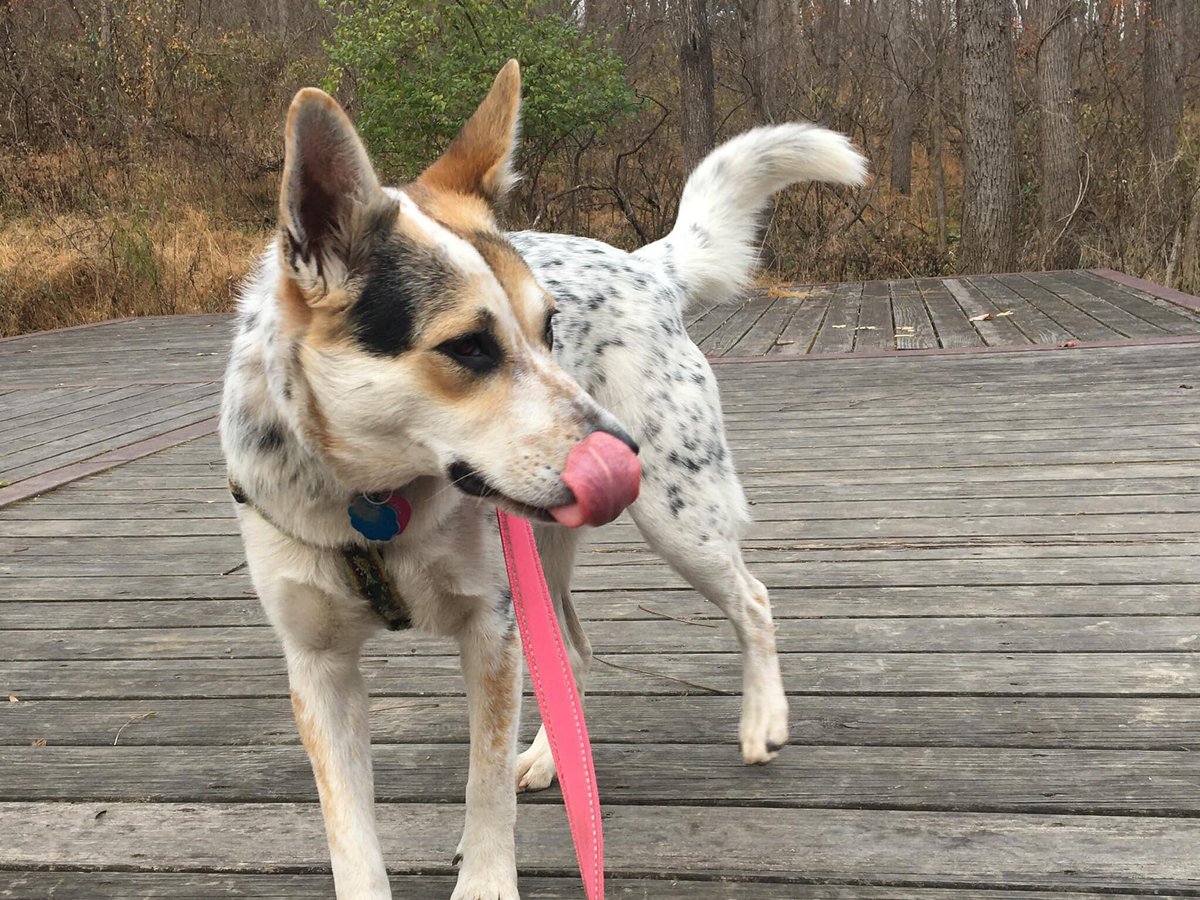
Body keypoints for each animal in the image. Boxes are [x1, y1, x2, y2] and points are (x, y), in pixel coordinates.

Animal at [220, 60, 868, 897]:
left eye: (549, 327)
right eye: (467, 347)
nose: (624, 454)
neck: (373, 498)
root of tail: (648, 263)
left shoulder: (491, 628)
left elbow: (484, 783)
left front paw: (487, 878)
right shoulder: (317, 666)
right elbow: (351, 839)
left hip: (677, 520)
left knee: (751, 600)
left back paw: (762, 720)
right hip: (550, 543)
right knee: (574, 650)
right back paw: (553, 755)